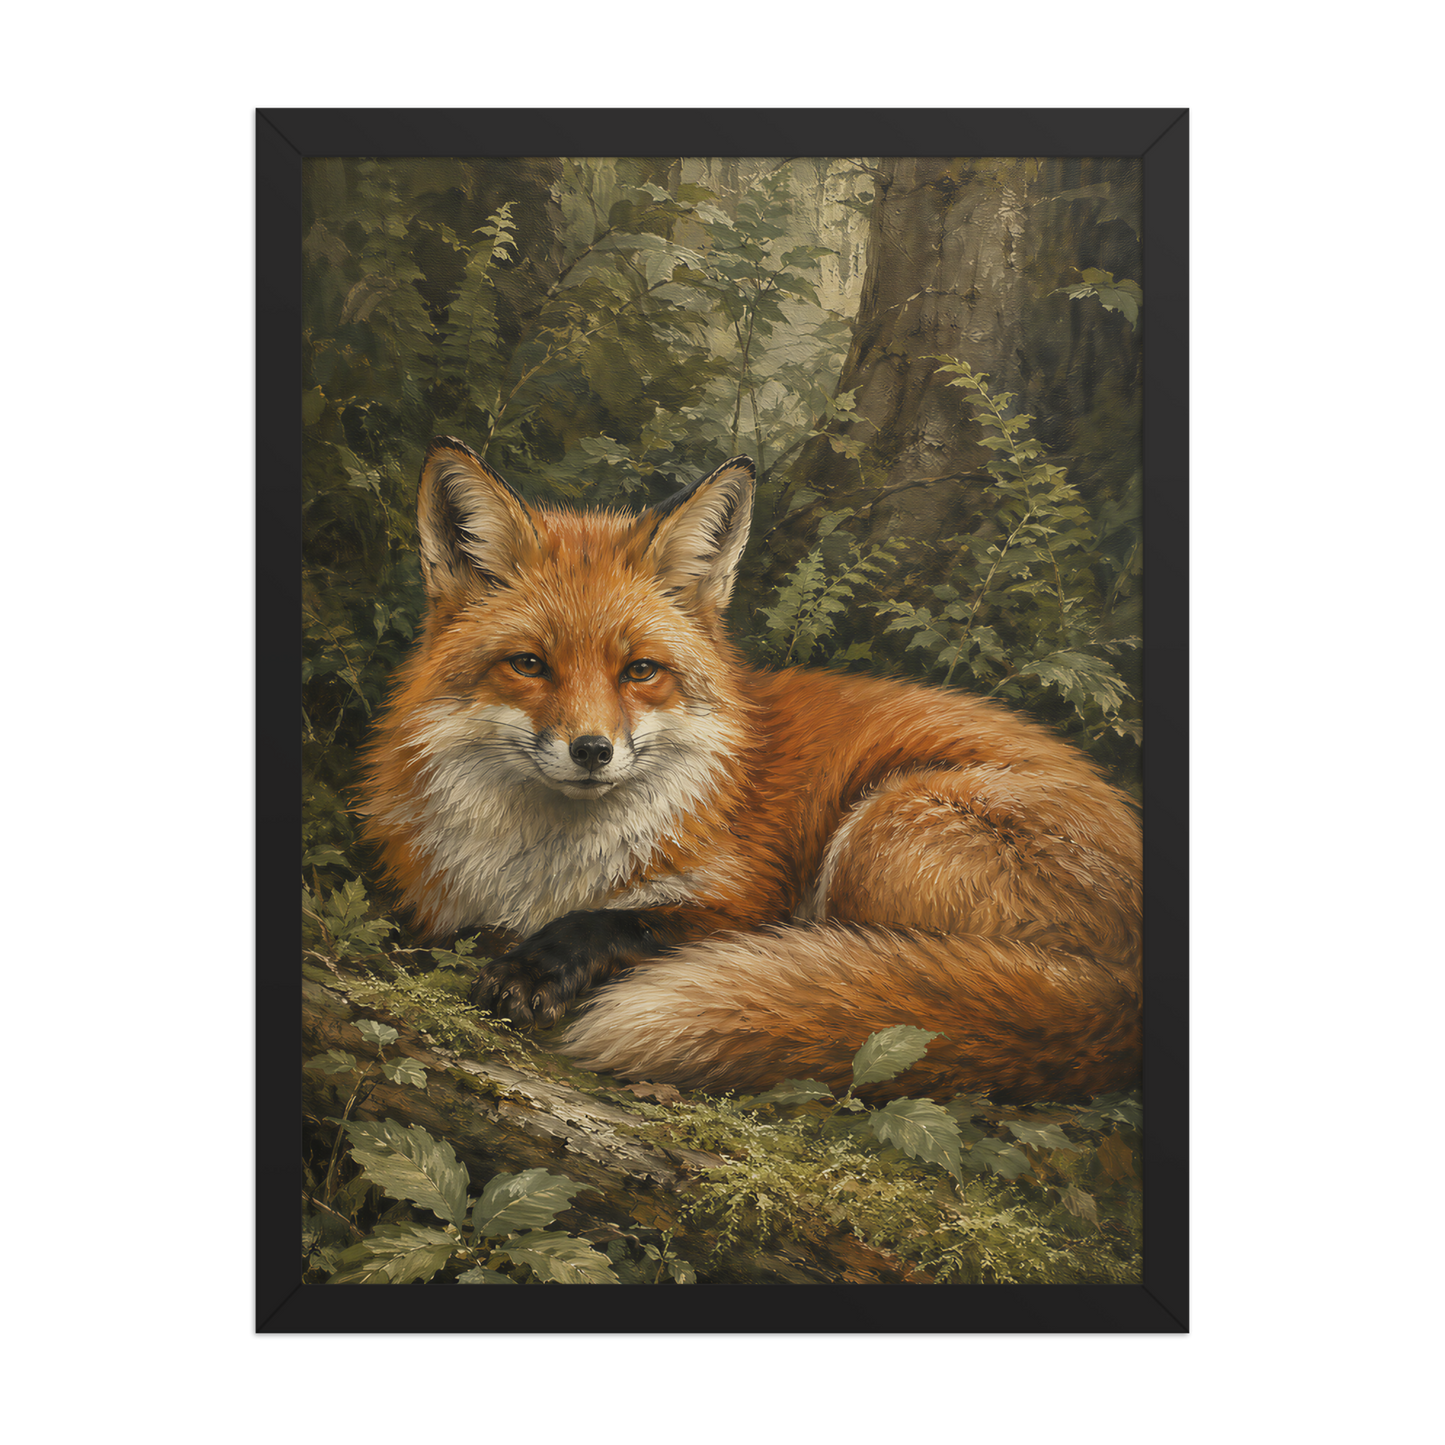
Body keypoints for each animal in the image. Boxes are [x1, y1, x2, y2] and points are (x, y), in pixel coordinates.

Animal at [358, 436, 1142, 1105]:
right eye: (529, 664)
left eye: (640, 671)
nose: (592, 750)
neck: (543, 869)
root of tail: (1127, 996)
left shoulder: (745, 902)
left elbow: (628, 922)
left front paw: (535, 967)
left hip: (880, 830)